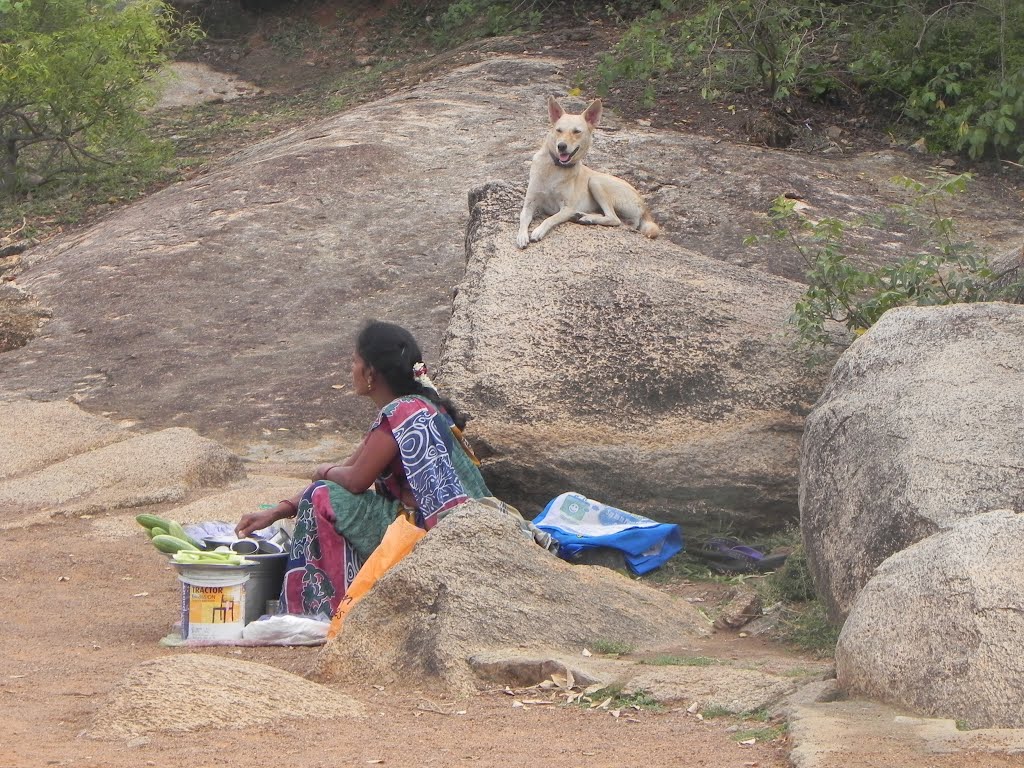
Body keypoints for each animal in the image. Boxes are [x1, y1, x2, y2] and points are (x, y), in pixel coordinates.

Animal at [516, 94, 659, 247]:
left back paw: (587, 218)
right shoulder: (529, 203)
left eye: (577, 131)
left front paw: (538, 230)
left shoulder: (567, 208)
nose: (561, 146)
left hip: (595, 181)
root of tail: (644, 205)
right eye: (559, 130)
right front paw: (522, 236)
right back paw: (583, 216)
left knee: (614, 218)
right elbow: (522, 219)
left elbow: (550, 219)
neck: (555, 168)